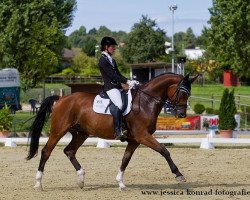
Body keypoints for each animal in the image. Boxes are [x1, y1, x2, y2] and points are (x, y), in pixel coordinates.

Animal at [26, 73, 197, 191]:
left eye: (188, 93)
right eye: (182, 92)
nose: (181, 114)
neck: (146, 102)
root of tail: (61, 99)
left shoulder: (134, 140)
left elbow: (125, 160)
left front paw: (121, 183)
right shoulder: (142, 136)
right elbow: (164, 150)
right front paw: (178, 174)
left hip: (81, 133)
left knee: (69, 151)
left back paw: (81, 179)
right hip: (59, 130)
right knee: (46, 151)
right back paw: (38, 184)